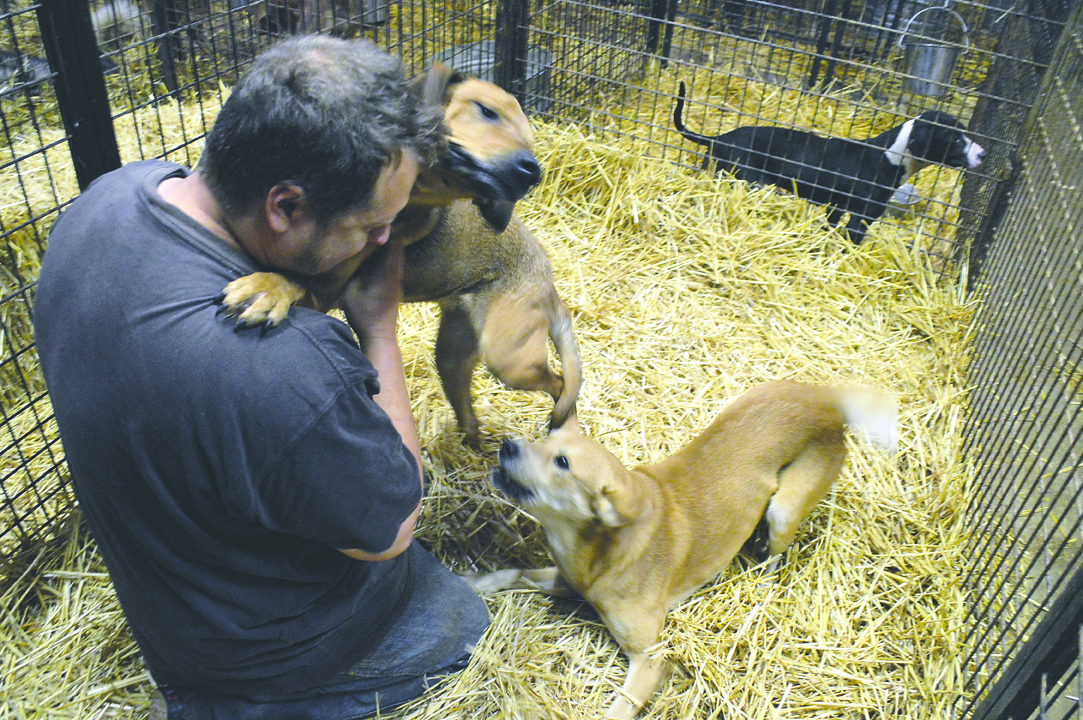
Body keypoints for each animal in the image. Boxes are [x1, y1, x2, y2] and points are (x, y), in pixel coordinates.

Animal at [470, 378, 901, 714]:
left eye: (562, 462)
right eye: (545, 437)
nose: (507, 445)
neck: (597, 549)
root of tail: (827, 401)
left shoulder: (649, 658)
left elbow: (619, 707)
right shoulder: (569, 581)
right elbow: (513, 570)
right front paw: (477, 584)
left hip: (784, 510)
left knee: (777, 553)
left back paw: (762, 579)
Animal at [671, 81, 987, 244]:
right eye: (954, 139)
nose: (983, 154)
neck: (891, 155)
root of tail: (719, 138)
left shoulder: (838, 208)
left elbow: (830, 226)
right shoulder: (862, 218)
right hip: (741, 178)